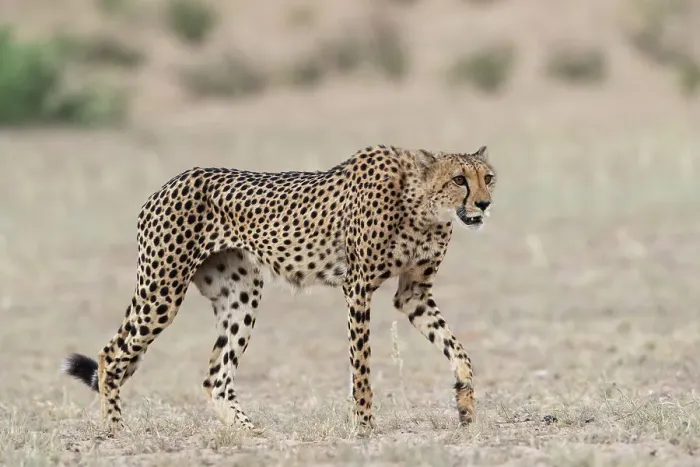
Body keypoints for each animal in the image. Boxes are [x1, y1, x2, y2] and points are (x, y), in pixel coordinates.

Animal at [61, 144, 497, 434]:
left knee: (215, 377)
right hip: (161, 290)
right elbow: (362, 367)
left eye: (488, 177)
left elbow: (458, 350)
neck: (421, 206)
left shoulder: (413, 294)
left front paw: (466, 407)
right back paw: (115, 430)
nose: (485, 204)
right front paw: (364, 426)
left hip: (240, 295)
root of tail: (166, 185)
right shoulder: (357, 288)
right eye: (459, 180)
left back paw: (252, 433)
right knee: (111, 354)